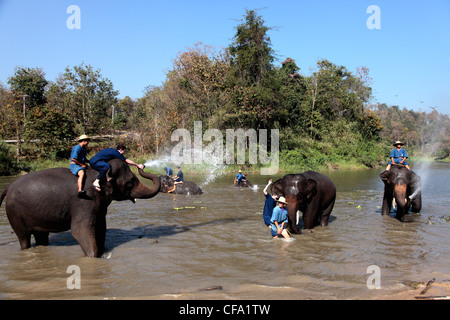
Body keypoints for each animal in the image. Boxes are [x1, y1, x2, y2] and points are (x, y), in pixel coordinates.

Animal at [0, 159, 161, 258]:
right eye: (130, 182)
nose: (142, 166)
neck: (98, 172)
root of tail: (8, 188)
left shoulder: (99, 204)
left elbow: (100, 227)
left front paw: (103, 253)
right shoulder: (83, 202)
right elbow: (80, 229)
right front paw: (93, 257)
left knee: (41, 236)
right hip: (14, 213)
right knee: (24, 238)